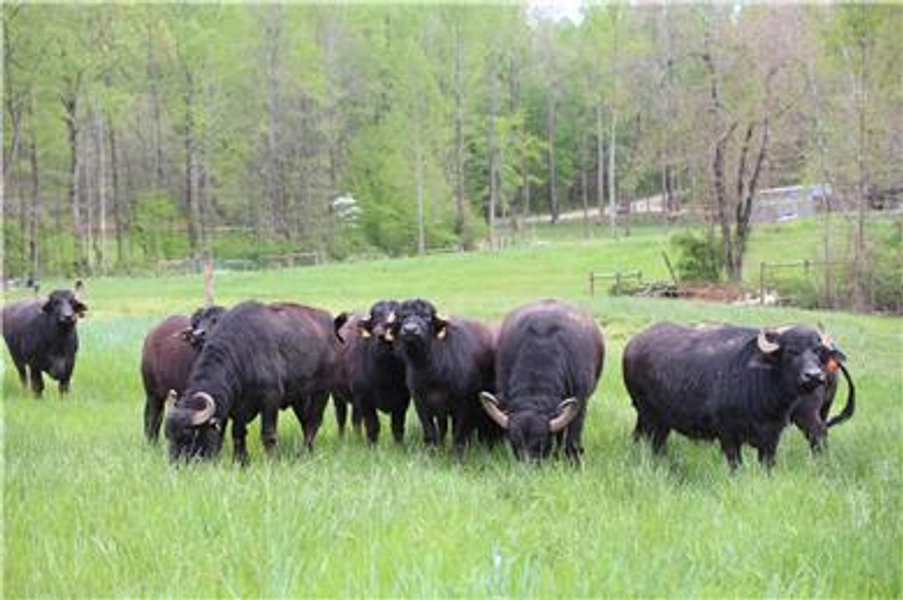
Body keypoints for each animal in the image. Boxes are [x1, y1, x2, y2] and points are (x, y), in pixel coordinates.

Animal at [164, 300, 341, 463]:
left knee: (314, 421)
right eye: (168, 434)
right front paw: (241, 460)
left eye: (190, 434)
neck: (243, 352)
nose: (175, 463)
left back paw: (304, 453)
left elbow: (268, 434)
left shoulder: (270, 399)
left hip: (322, 391)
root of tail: (330, 325)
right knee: (305, 420)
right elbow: (236, 433)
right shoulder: (235, 405)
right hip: (299, 397)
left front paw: (272, 460)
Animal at [391, 298, 501, 450]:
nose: (410, 330)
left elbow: (459, 435)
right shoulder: (421, 404)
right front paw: (432, 452)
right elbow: (430, 432)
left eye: (427, 316)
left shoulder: (465, 406)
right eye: (402, 317)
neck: (432, 374)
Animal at [622, 323, 851, 469]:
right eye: (791, 351)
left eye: (818, 351)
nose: (813, 376)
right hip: (648, 414)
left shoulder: (772, 436)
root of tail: (633, 344)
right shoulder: (727, 433)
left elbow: (768, 465)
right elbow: (735, 464)